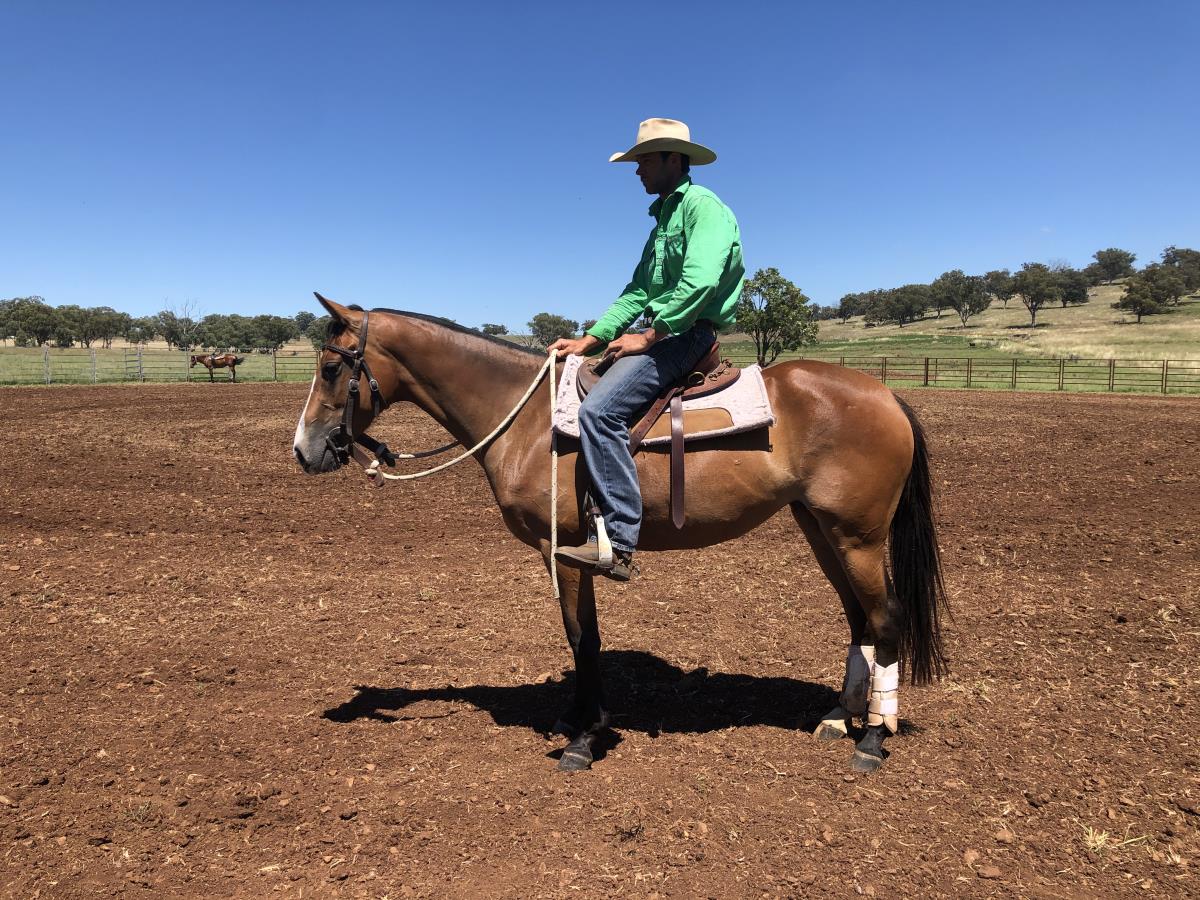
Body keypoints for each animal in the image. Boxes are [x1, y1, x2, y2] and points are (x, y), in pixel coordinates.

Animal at [292, 294, 947, 775]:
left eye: (331, 367)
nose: (305, 450)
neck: (526, 418)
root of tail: (888, 396)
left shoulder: (565, 549)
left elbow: (581, 638)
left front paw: (583, 739)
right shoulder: (569, 552)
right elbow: (584, 635)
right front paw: (579, 718)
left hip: (858, 535)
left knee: (886, 617)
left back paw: (873, 740)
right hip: (820, 528)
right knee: (858, 617)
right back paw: (839, 716)